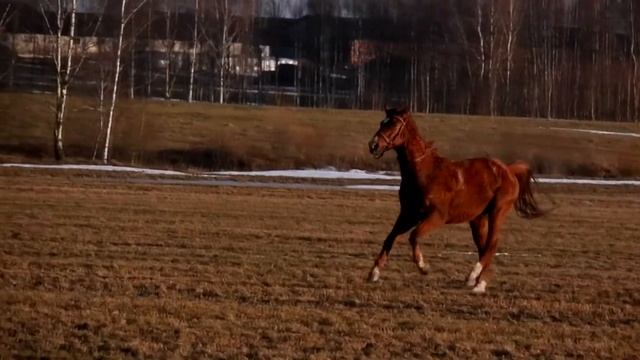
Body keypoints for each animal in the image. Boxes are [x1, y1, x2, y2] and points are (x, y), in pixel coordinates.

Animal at [368, 107, 544, 292]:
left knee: (491, 244)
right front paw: (374, 273)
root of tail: (508, 170)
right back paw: (477, 281)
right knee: (483, 246)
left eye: (394, 124)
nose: (373, 145)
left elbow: (414, 236)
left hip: (498, 211)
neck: (424, 172)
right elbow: (390, 237)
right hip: (478, 219)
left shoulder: (437, 216)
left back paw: (475, 279)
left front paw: (423, 267)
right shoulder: (408, 215)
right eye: (382, 122)